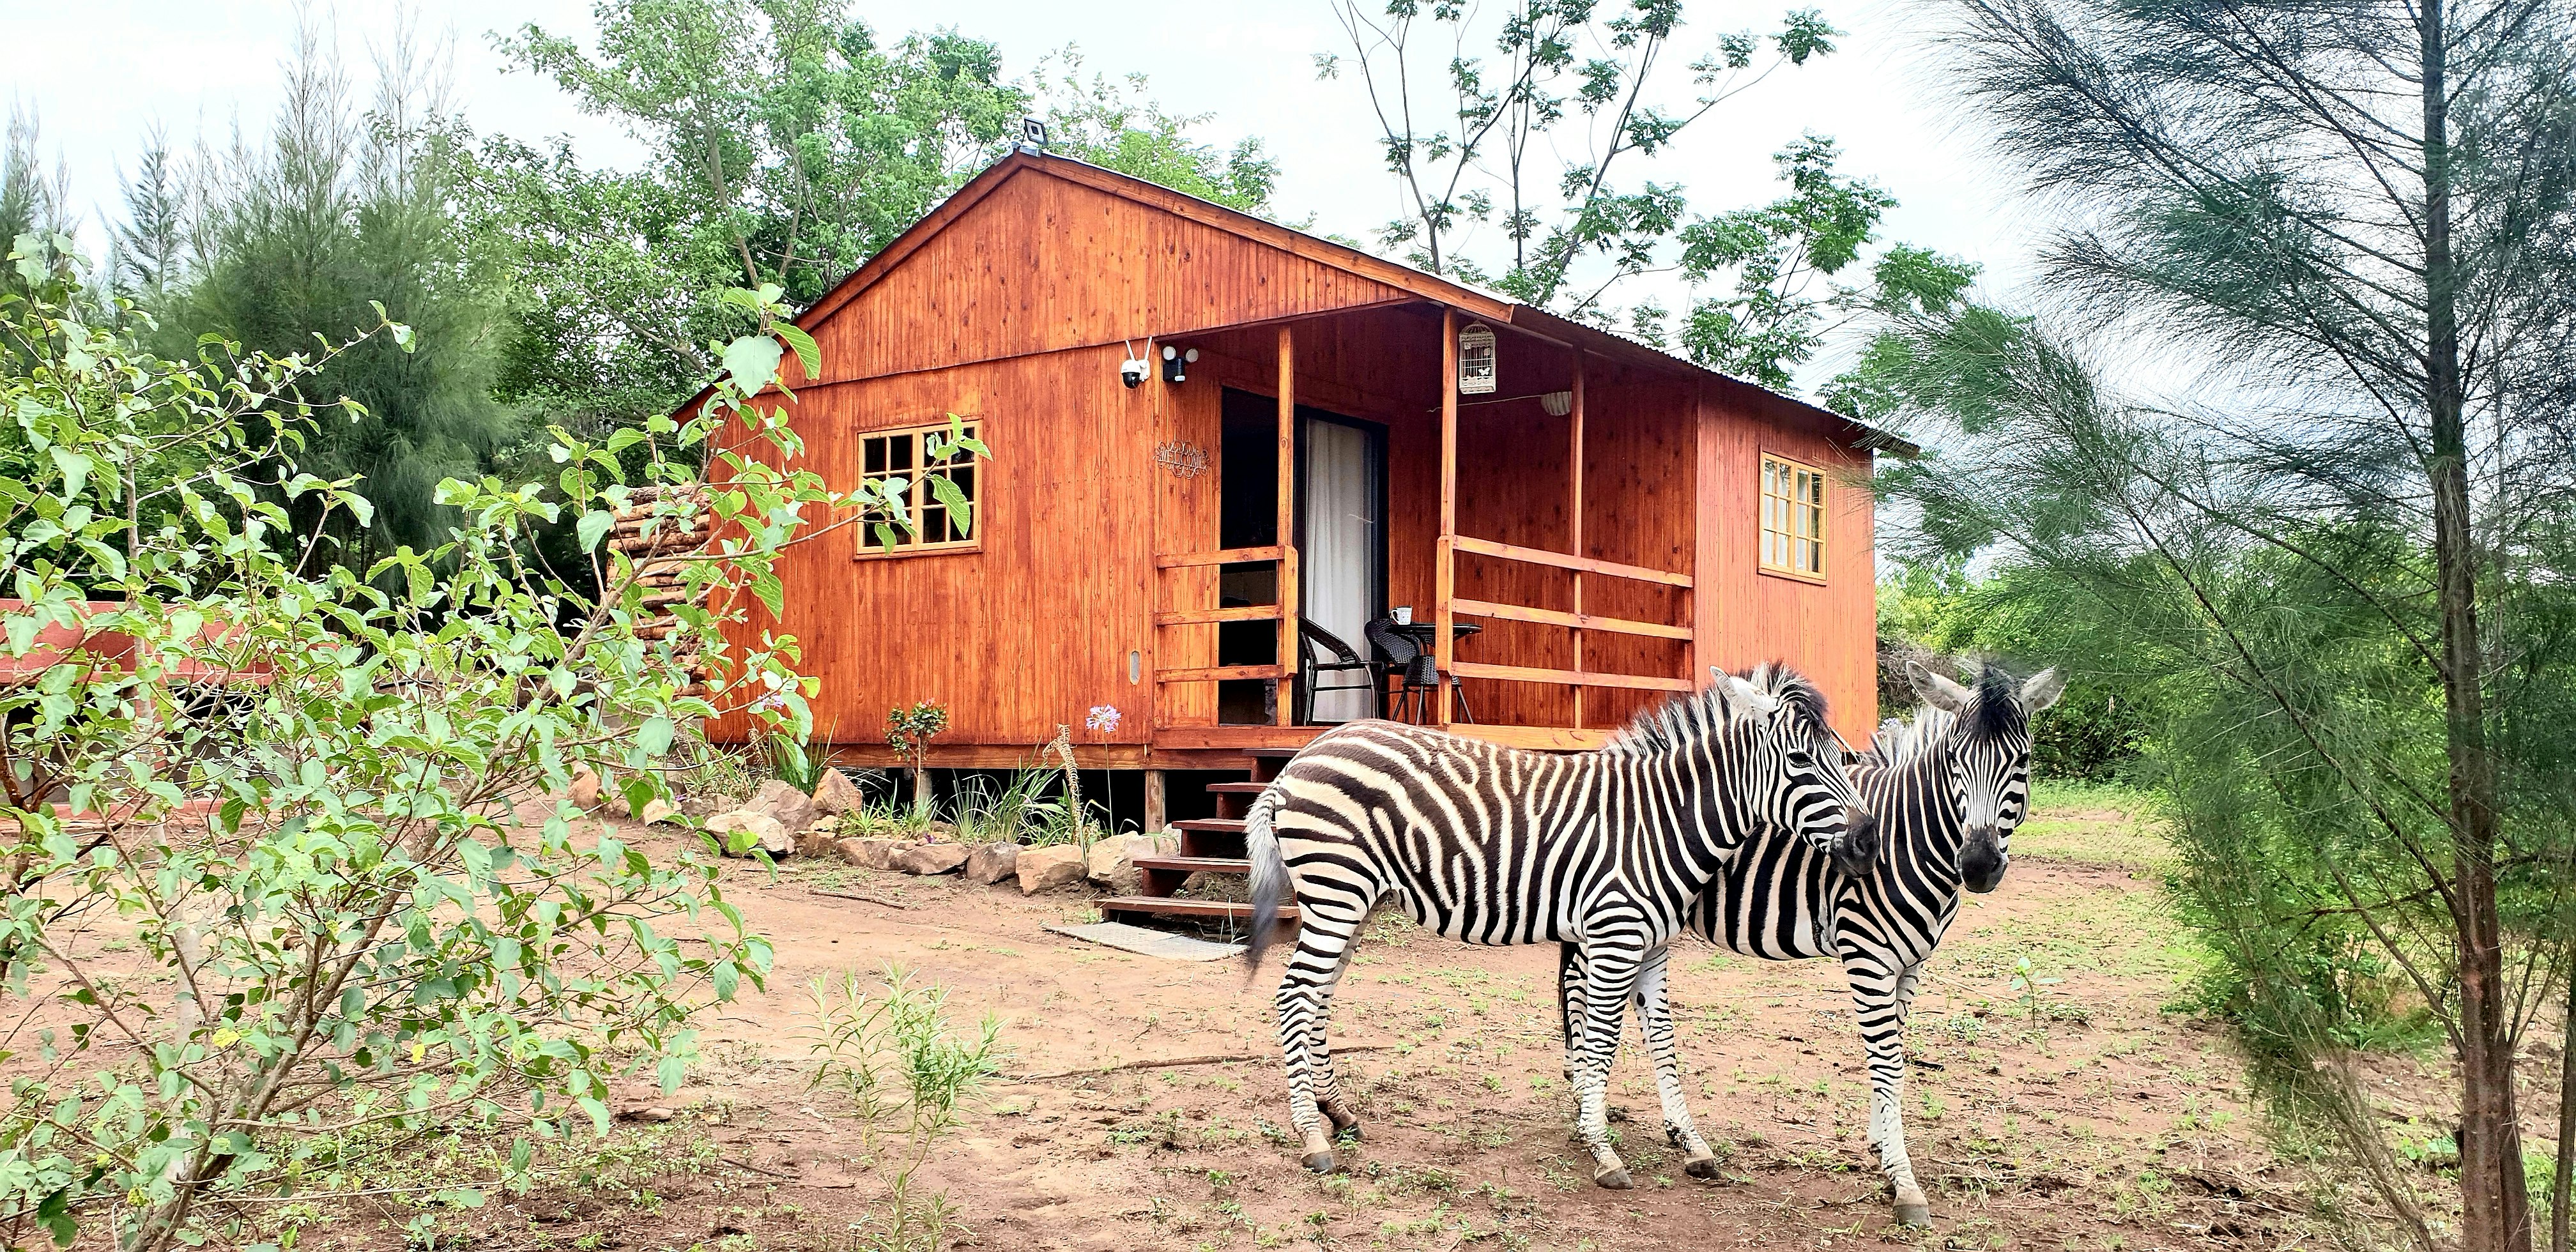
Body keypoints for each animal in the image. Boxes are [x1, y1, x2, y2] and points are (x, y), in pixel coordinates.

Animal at [1244, 663, 1877, 1189]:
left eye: (1843, 755)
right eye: (1799, 762)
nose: (1868, 842)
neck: (1662, 821)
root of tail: (1300, 758)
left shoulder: (1655, 947)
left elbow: (1663, 1040)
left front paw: (1691, 1142)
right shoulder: (1614, 937)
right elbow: (1600, 1042)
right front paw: (1603, 1149)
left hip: (1356, 900)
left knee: (1319, 997)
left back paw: (1338, 1112)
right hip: (1337, 890)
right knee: (1294, 996)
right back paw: (1312, 1137)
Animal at [1555, 659, 2062, 1225]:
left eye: (2023, 761)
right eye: (1955, 761)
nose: (1977, 866)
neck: (1908, 838)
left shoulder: (1911, 962)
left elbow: (1894, 1053)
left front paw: (1880, 1145)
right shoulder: (1866, 952)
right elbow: (1886, 1061)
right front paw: (1903, 1181)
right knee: (1578, 994)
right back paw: (1586, 1105)